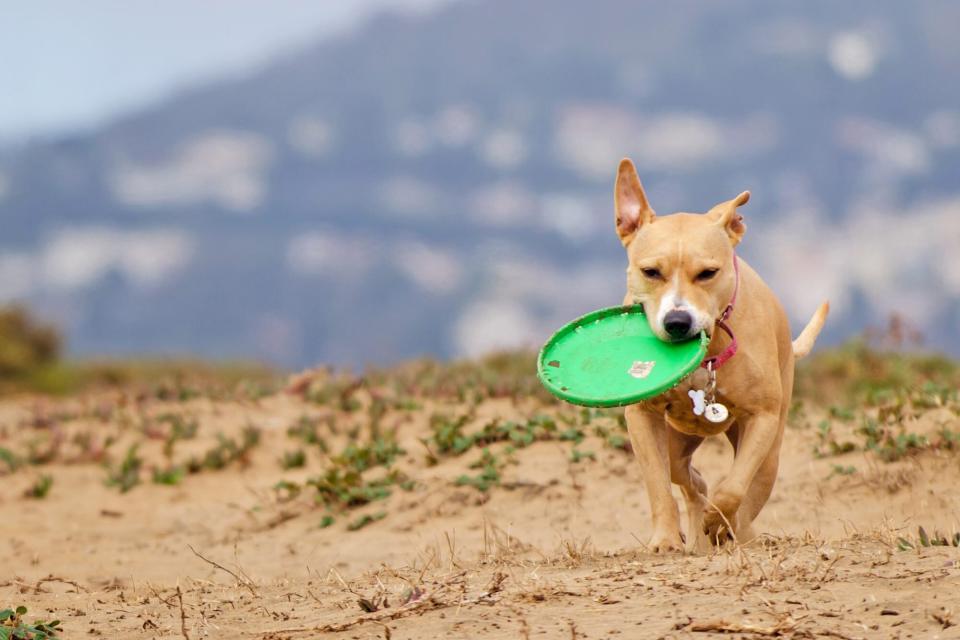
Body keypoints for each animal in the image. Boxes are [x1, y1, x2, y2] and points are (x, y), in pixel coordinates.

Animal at [620, 158, 828, 552]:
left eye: (708, 273)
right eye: (650, 272)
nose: (677, 321)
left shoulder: (762, 419)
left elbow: (733, 489)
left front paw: (719, 522)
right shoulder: (641, 417)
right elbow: (657, 486)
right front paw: (666, 539)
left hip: (770, 452)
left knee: (747, 492)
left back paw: (730, 532)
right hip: (677, 440)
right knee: (689, 480)